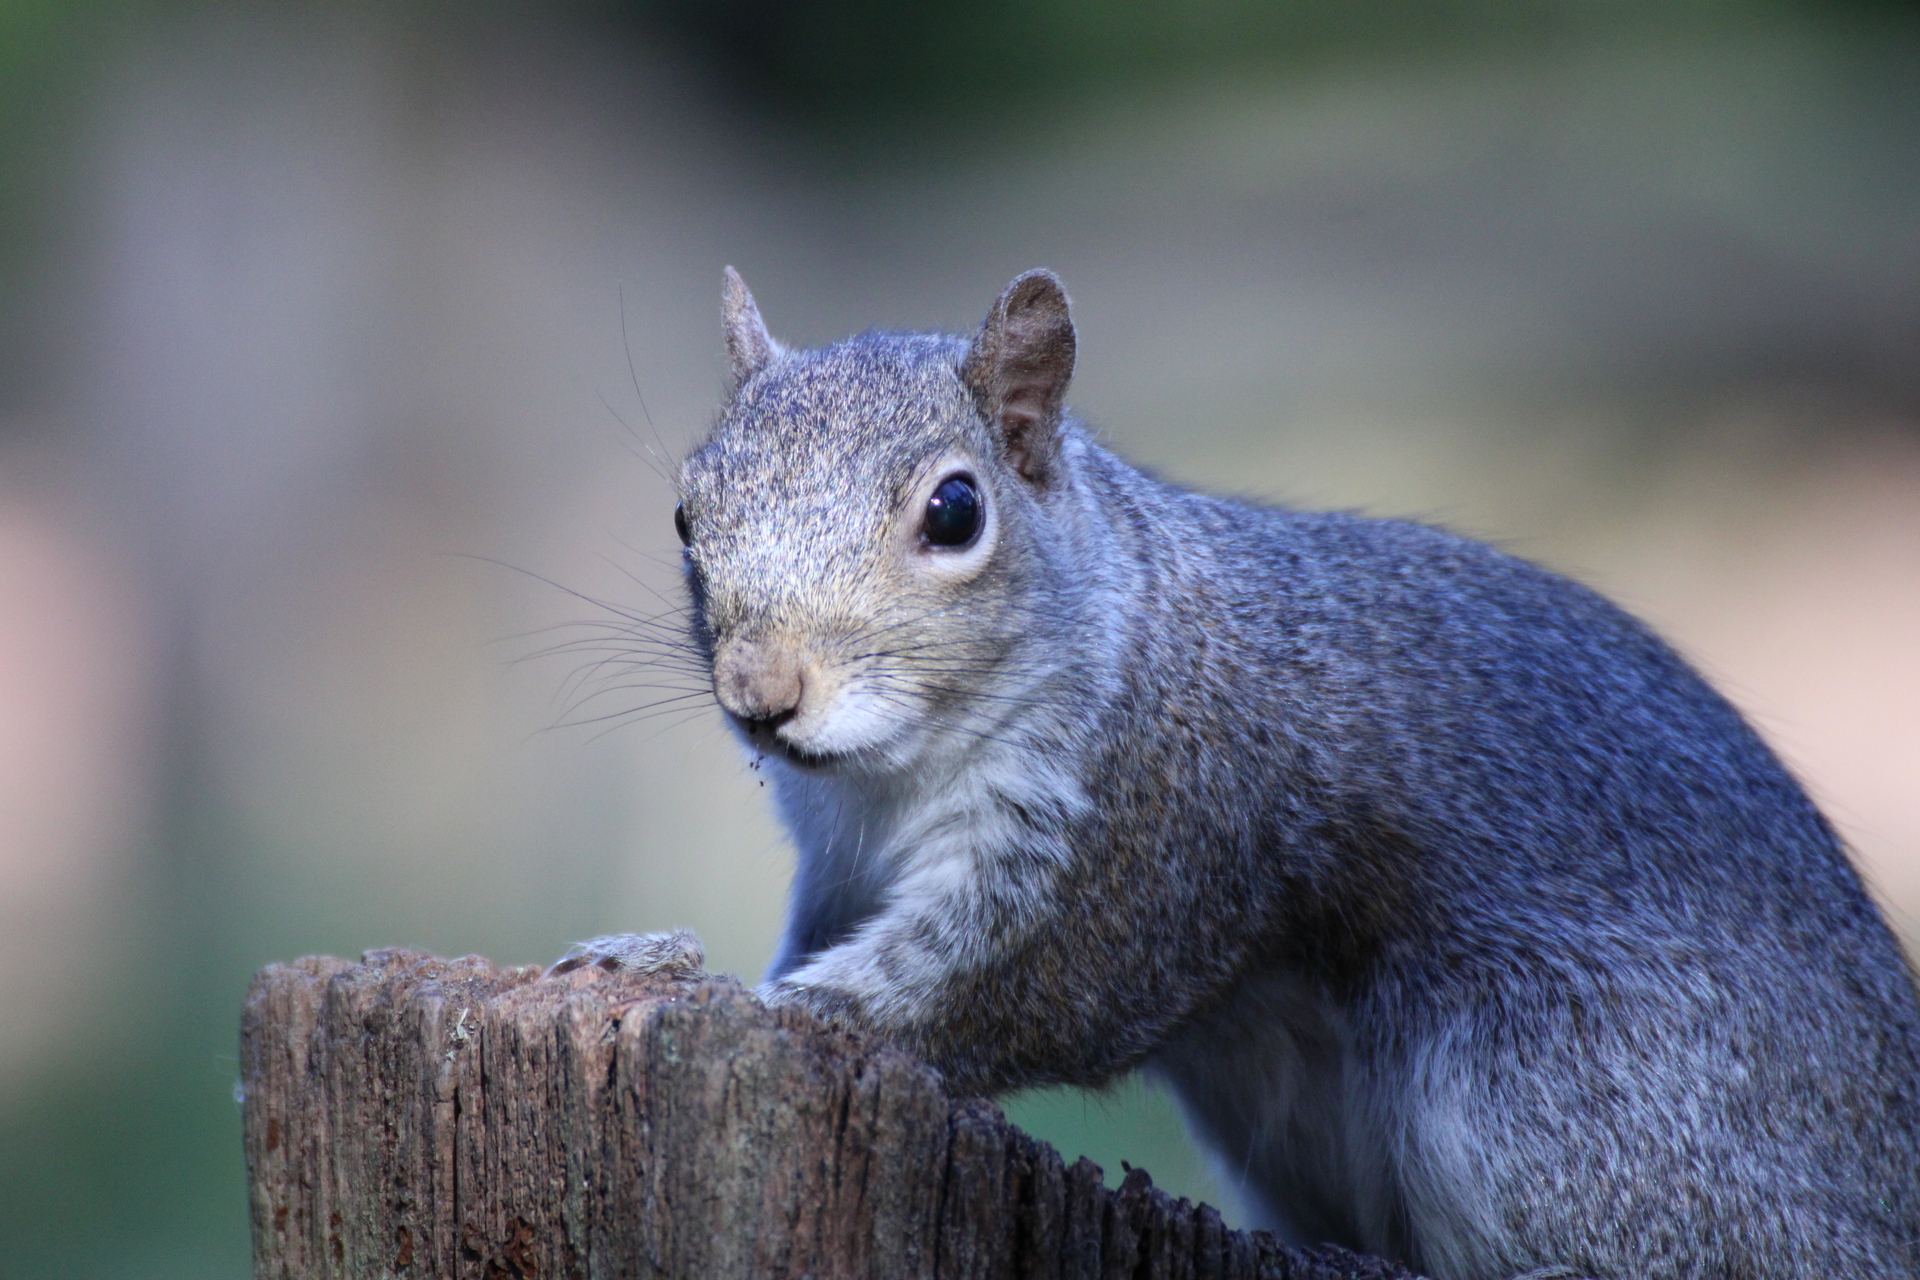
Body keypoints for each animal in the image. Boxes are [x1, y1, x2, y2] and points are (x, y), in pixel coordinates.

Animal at [555, 267, 1920, 1280]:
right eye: (685, 514)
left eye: (954, 512)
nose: (761, 693)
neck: (895, 769)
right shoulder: (839, 856)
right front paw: (652, 948)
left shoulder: (1143, 836)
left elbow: (955, 996)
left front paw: (740, 995)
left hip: (1554, 1089)